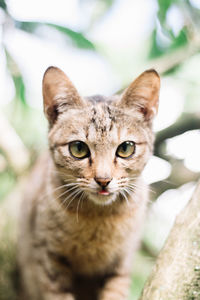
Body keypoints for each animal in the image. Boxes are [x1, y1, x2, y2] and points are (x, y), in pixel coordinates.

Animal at [18, 66, 160, 300]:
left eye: (126, 148)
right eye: (78, 148)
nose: (103, 180)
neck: (97, 218)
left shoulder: (121, 263)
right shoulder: (48, 260)